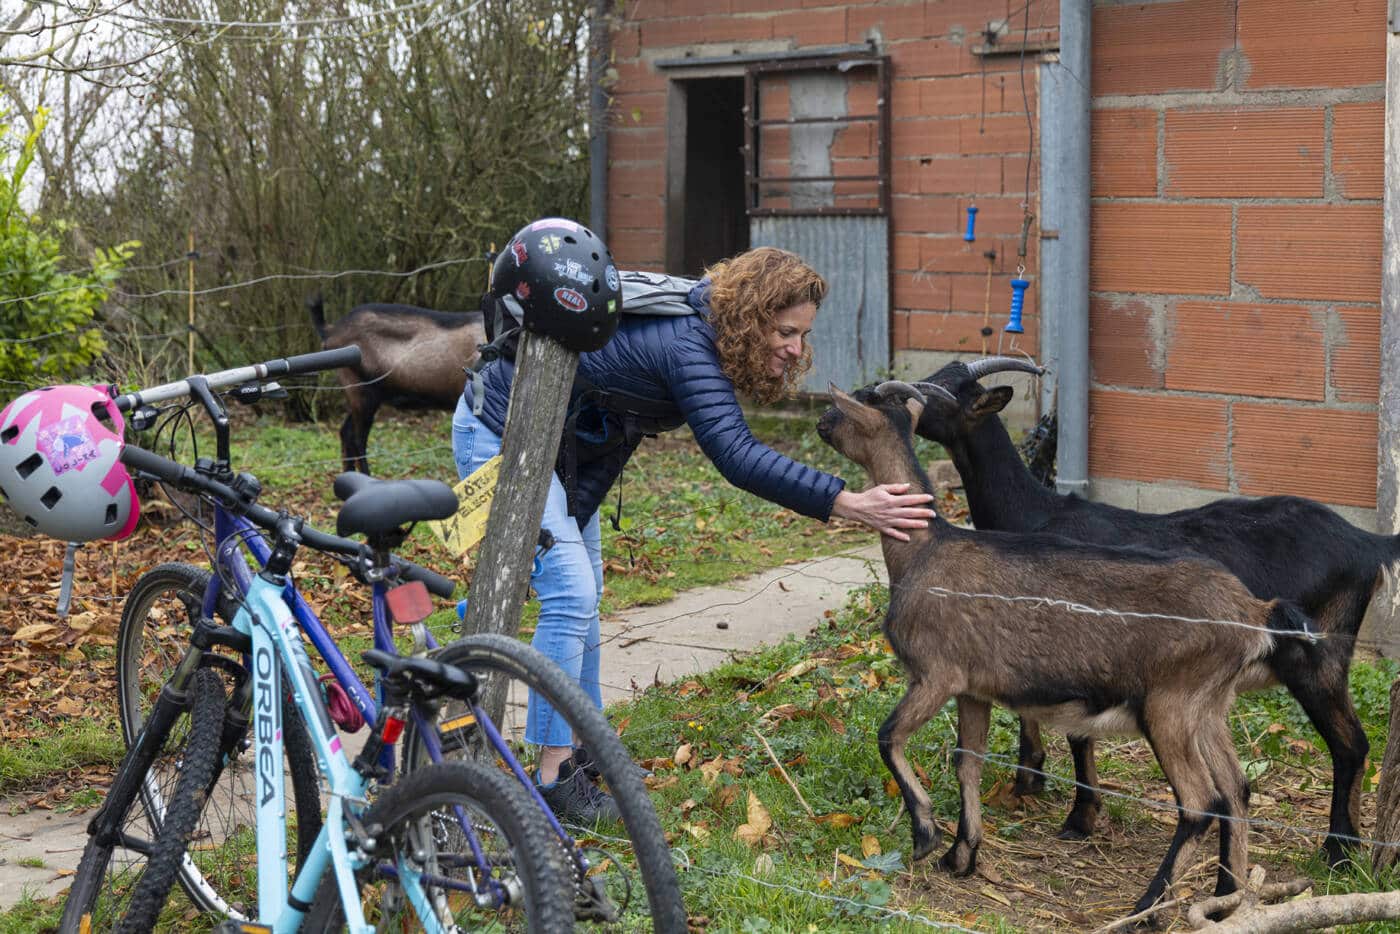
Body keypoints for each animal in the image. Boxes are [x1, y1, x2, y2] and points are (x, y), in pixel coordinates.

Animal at [817, 383, 1316, 918]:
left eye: (847, 407)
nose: (820, 422)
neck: (921, 551)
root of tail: (1254, 612)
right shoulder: (973, 688)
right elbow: (967, 761)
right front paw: (961, 854)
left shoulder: (936, 674)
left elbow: (889, 736)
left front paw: (926, 834)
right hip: (1210, 705)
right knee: (1236, 789)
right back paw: (1226, 896)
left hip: (1170, 705)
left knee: (1201, 802)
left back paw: (1143, 910)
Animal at [890, 354, 1394, 868]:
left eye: (940, 392)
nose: (884, 391)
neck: (1036, 514)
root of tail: (1366, 544)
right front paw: (1031, 779)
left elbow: (1077, 733)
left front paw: (1079, 815)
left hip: (1318, 654)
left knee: (1350, 744)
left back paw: (1338, 849)